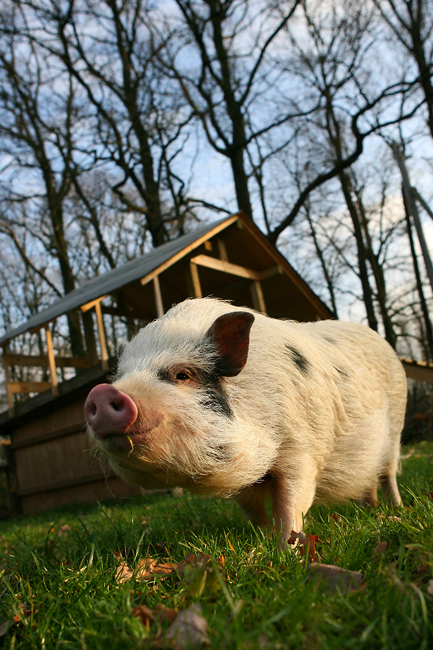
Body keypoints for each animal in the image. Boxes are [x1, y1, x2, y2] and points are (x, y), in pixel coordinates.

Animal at [83, 298, 404, 548]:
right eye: (120, 376)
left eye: (182, 375)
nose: (101, 392)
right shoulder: (244, 481)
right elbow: (252, 511)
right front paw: (265, 540)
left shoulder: (301, 450)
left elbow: (291, 505)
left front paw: (285, 552)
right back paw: (370, 507)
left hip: (396, 428)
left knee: (388, 473)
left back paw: (395, 509)